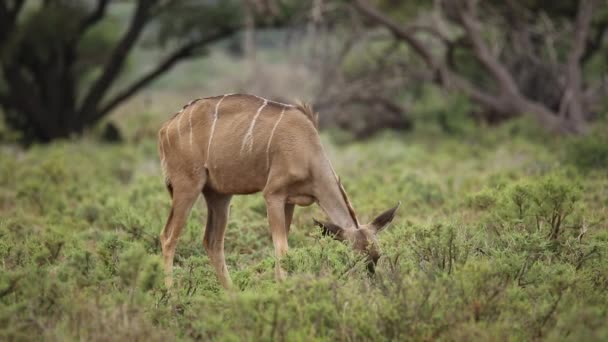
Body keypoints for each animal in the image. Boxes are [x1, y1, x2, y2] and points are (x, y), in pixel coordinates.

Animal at [159, 93, 402, 288]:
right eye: (355, 257)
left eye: (377, 256)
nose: (370, 285)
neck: (308, 151)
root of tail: (165, 128)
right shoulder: (273, 195)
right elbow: (282, 249)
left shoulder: (290, 200)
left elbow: (281, 248)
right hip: (187, 186)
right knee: (168, 236)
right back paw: (171, 296)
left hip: (219, 195)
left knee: (213, 242)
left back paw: (232, 295)